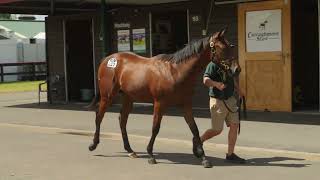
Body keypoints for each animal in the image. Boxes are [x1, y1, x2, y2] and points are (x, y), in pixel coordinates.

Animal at [87, 28, 235, 167]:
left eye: (230, 46)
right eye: (222, 48)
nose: (236, 69)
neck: (175, 72)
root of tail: (108, 59)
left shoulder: (186, 104)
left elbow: (194, 128)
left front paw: (203, 157)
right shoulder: (159, 103)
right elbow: (155, 127)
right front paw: (150, 154)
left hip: (128, 98)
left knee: (122, 120)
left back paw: (130, 150)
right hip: (107, 96)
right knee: (99, 117)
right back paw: (93, 144)